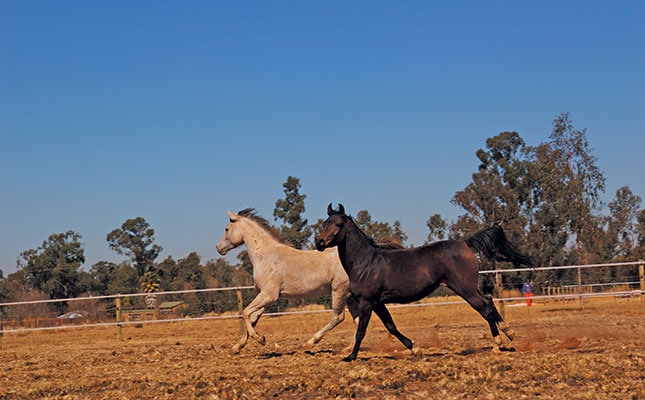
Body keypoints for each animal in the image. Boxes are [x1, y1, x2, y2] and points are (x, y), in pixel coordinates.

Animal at [216, 209, 358, 354]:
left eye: (227, 229)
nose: (218, 248)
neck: (266, 256)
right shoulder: (266, 296)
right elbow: (253, 317)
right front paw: (237, 347)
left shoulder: (269, 295)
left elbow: (245, 313)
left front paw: (260, 339)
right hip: (349, 296)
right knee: (357, 320)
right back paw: (349, 349)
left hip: (338, 290)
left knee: (338, 317)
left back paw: (310, 343)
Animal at [314, 205, 532, 360]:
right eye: (325, 223)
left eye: (338, 224)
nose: (320, 242)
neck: (366, 262)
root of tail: (465, 243)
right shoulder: (378, 303)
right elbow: (391, 326)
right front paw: (415, 349)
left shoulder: (367, 302)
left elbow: (361, 331)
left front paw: (350, 357)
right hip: (467, 288)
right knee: (489, 301)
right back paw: (507, 336)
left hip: (465, 289)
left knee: (485, 308)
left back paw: (498, 343)